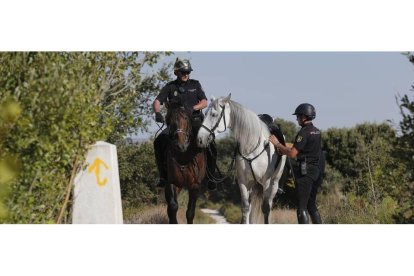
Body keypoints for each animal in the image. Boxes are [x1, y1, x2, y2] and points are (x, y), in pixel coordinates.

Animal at [196, 94, 286, 223]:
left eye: (213, 114)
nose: (200, 139)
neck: (253, 147)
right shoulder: (244, 183)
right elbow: (245, 208)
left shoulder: (267, 183)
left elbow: (265, 209)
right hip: (254, 185)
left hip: (273, 184)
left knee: (268, 206)